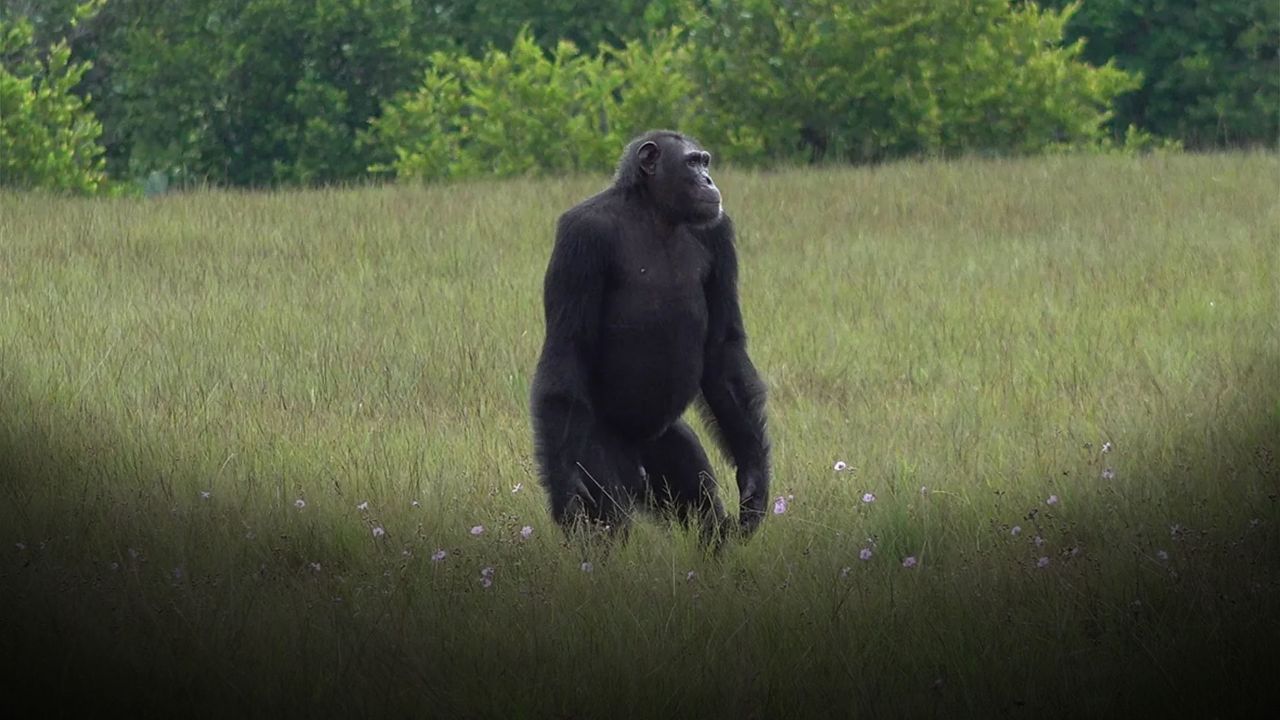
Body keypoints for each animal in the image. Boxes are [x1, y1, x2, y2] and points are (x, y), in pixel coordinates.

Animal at [529, 131, 768, 540]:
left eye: (705, 160)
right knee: (610, 521)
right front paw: (565, 493)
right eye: (692, 163)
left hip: (665, 447)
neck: (657, 213)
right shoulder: (580, 238)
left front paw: (754, 476)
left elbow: (723, 351)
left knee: (702, 508)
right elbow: (568, 348)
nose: (708, 180)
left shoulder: (719, 234)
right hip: (594, 446)